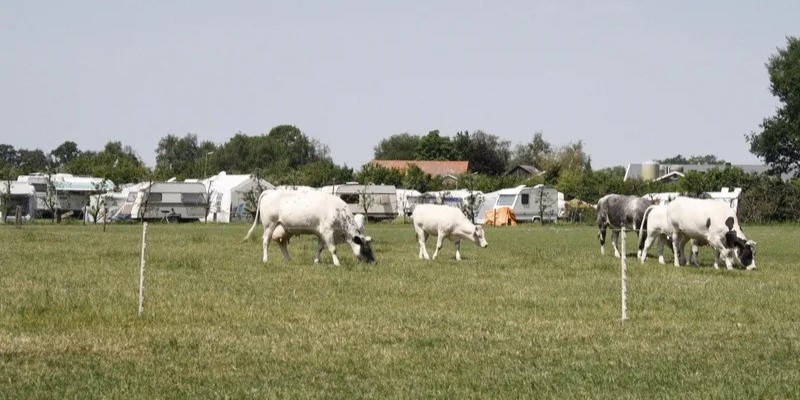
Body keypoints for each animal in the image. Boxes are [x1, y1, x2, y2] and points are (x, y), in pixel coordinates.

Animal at [243, 190, 375, 266]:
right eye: (366, 249)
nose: (374, 261)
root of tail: (269, 192)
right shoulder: (328, 232)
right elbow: (333, 249)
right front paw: (337, 263)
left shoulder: (322, 234)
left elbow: (320, 248)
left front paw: (316, 261)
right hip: (269, 225)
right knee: (266, 242)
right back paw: (265, 259)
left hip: (283, 228)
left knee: (282, 244)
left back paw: (289, 259)